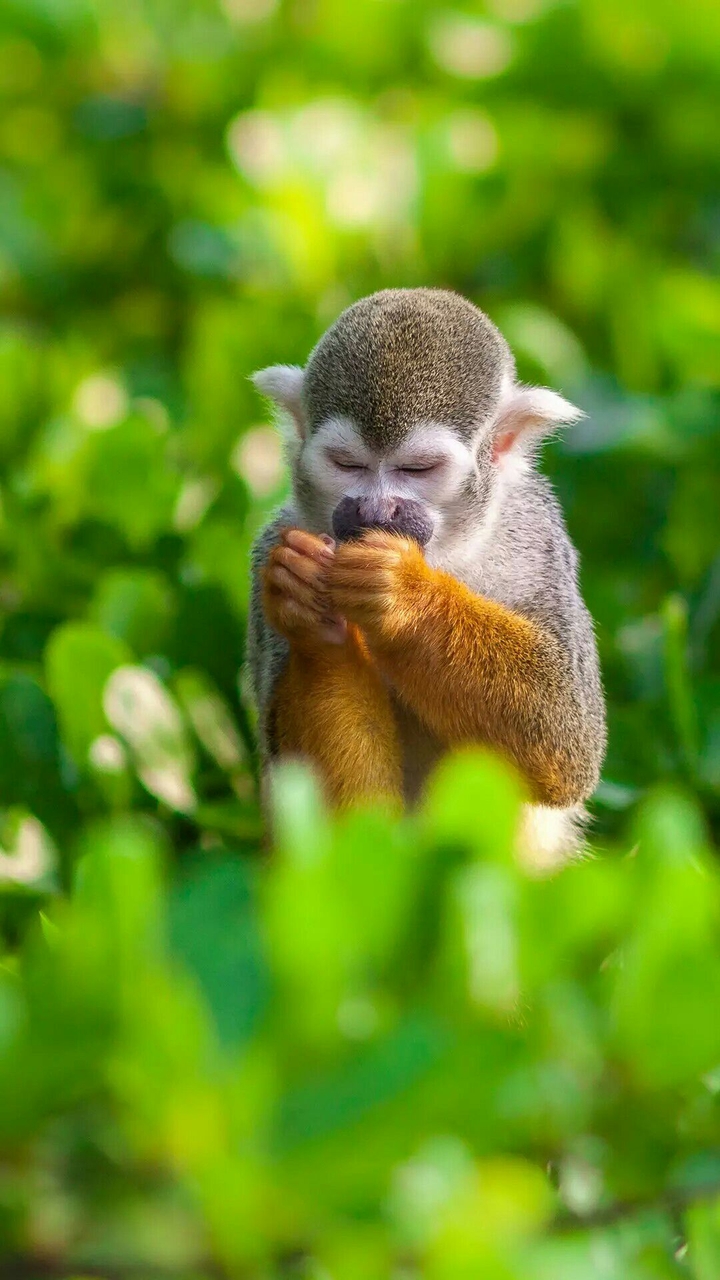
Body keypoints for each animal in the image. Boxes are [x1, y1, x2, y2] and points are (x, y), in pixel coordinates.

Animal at [246, 288, 606, 865]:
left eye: (418, 469)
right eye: (346, 464)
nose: (374, 511)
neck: (443, 555)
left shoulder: (538, 541)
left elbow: (567, 739)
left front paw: (402, 593)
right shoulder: (271, 547)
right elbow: (339, 835)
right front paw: (314, 624)